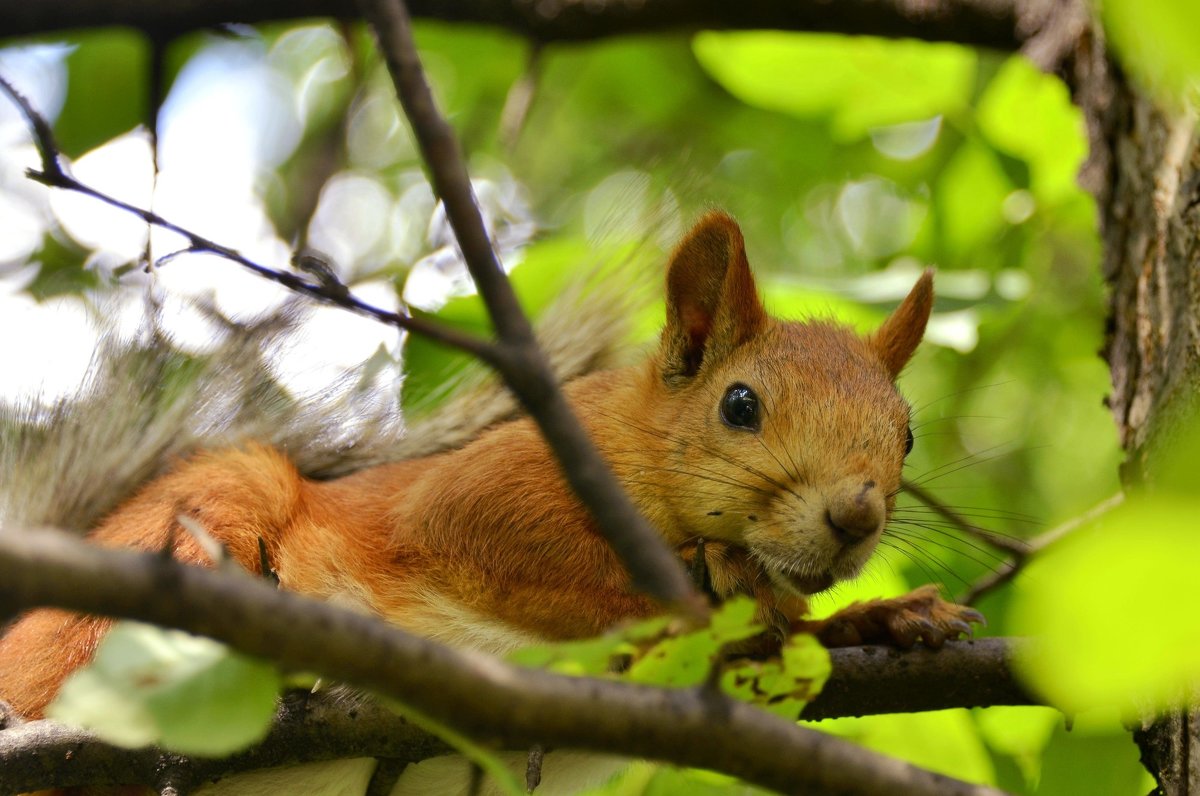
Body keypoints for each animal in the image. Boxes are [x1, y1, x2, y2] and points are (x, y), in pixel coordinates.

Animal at [0, 211, 974, 720]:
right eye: (739, 405)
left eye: (907, 434)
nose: (855, 517)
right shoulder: (485, 492)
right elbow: (530, 559)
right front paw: (709, 597)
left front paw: (887, 617)